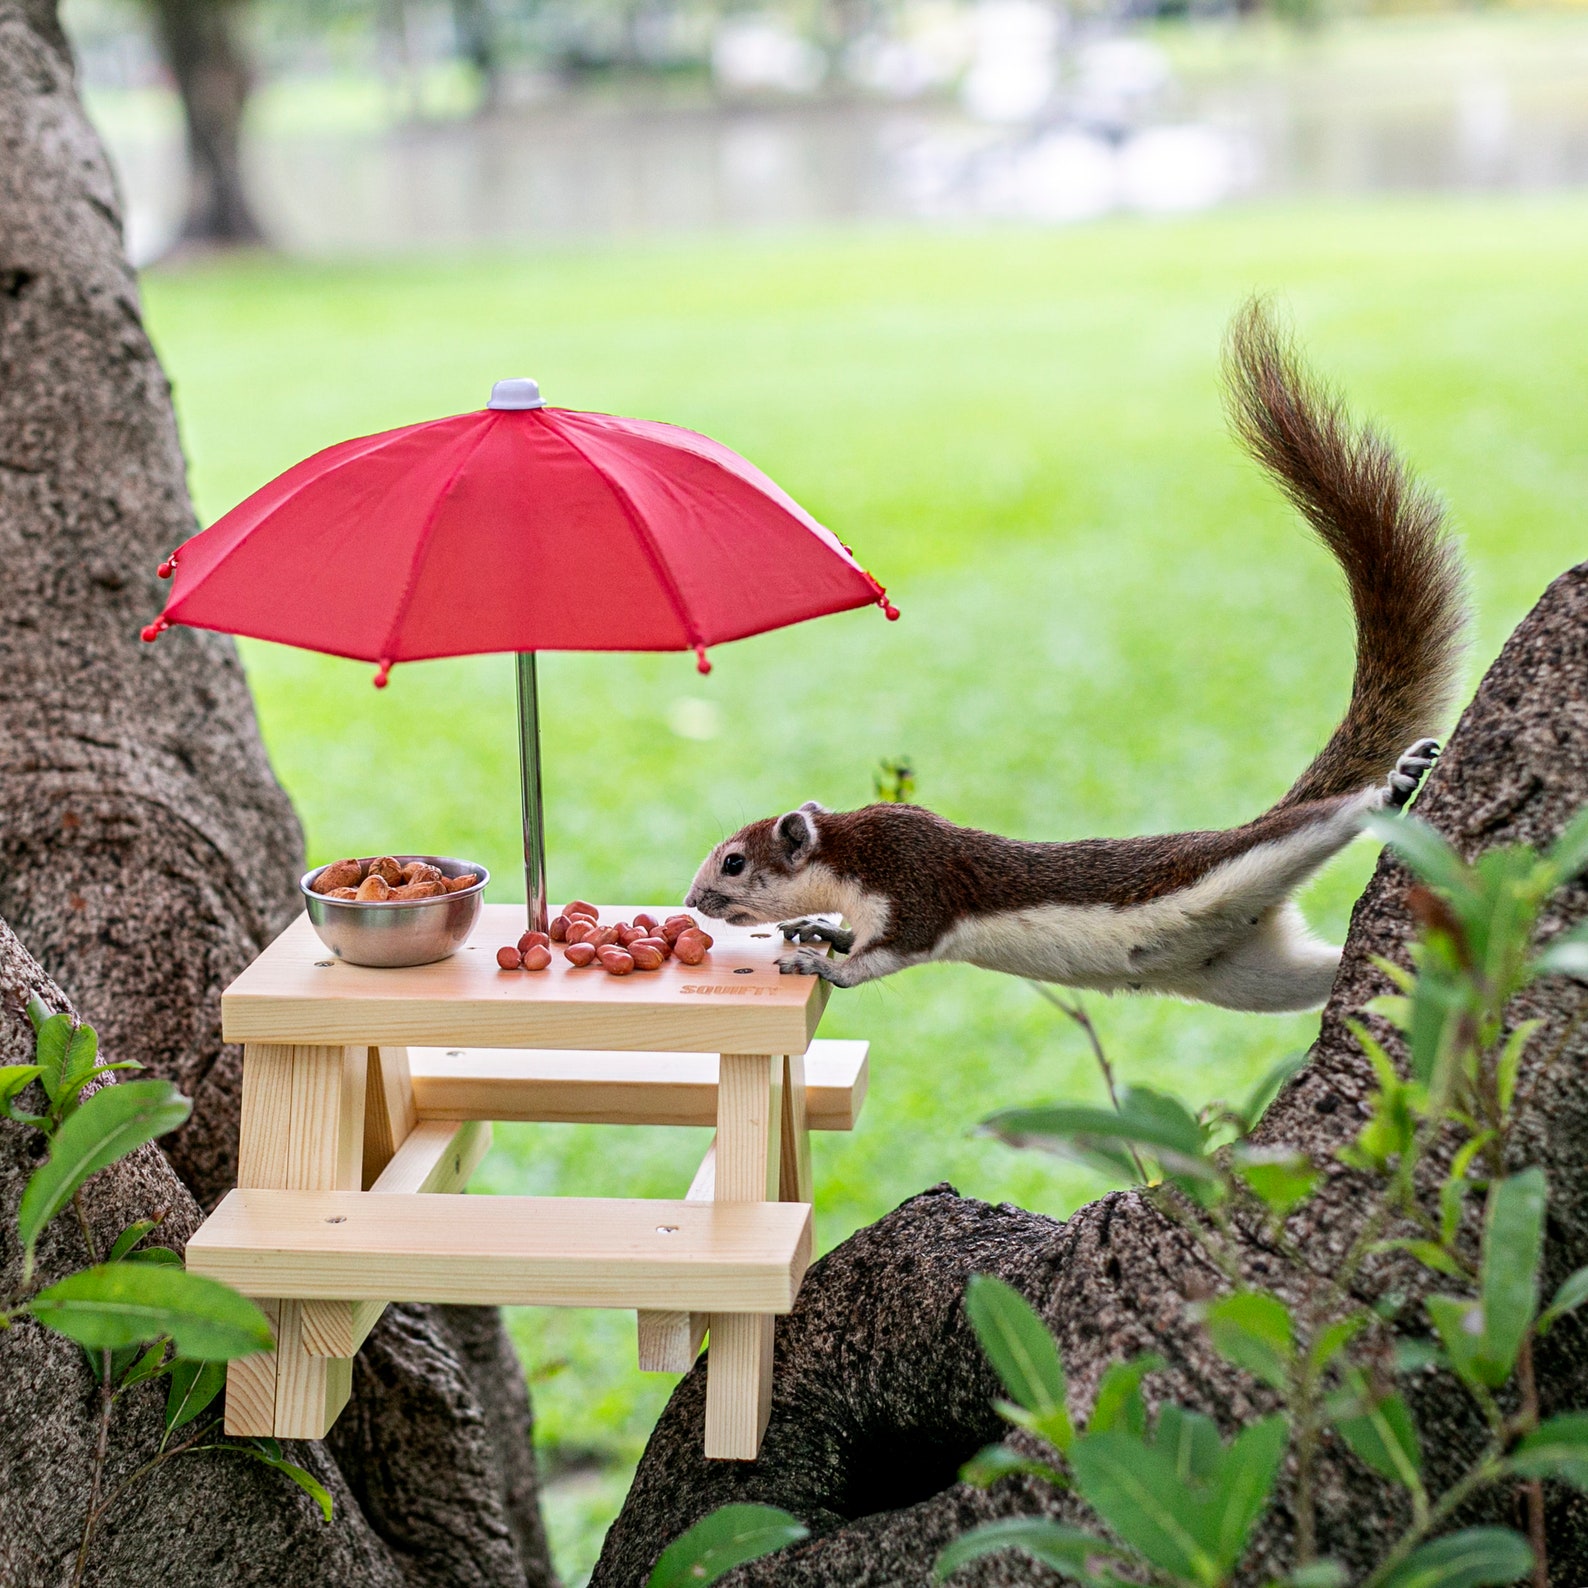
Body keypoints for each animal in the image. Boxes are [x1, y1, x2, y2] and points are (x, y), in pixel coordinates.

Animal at [683, 302, 1469, 1014]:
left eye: (734, 861)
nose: (692, 901)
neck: (852, 855)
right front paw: (819, 928)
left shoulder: (915, 890)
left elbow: (885, 955)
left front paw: (823, 963)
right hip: (1253, 977)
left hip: (1243, 863)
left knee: (1321, 823)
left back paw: (1395, 784)